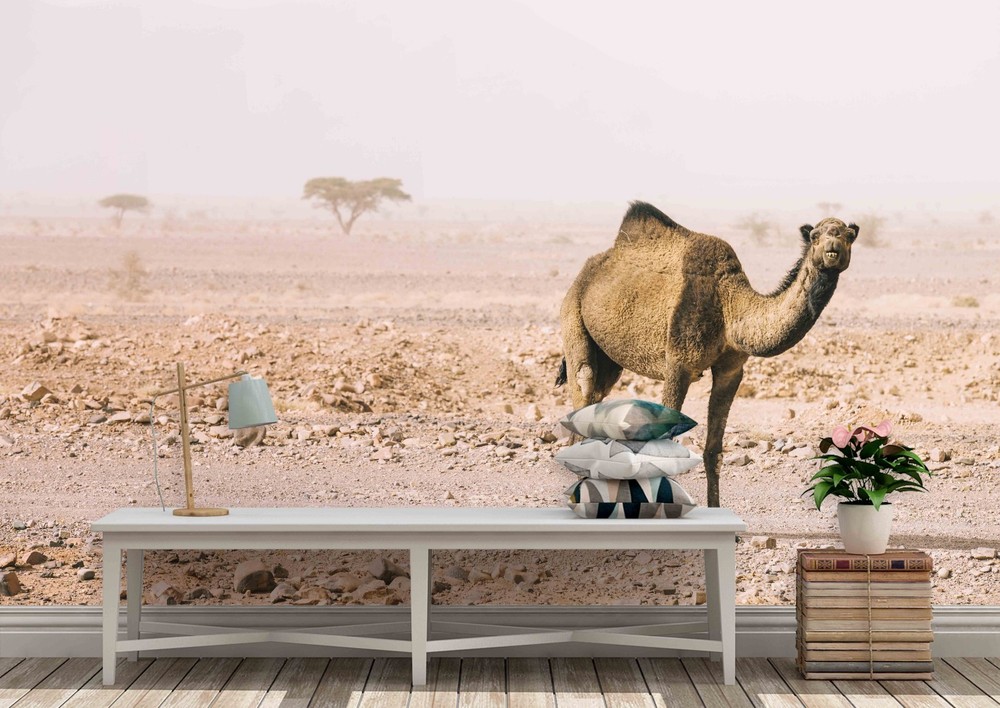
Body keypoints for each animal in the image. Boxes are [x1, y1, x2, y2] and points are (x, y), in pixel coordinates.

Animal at [557, 201, 858, 507]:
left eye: (848, 235)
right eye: (815, 236)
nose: (832, 247)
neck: (729, 307)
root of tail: (588, 270)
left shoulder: (730, 370)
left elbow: (714, 451)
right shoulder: (679, 364)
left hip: (609, 359)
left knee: (595, 398)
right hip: (572, 316)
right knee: (584, 382)